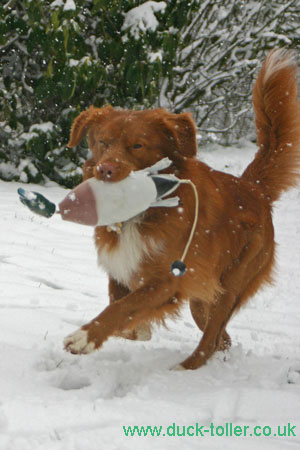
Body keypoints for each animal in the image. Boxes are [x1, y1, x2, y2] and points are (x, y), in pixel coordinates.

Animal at [63, 49, 300, 370]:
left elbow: (122, 308)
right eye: (103, 142)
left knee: (211, 337)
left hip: (230, 285)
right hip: (203, 297)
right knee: (222, 338)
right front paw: (139, 330)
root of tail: (255, 189)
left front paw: (85, 337)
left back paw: (184, 369)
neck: (141, 213)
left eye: (137, 145)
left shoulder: (167, 281)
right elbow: (121, 307)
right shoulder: (124, 270)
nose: (105, 170)